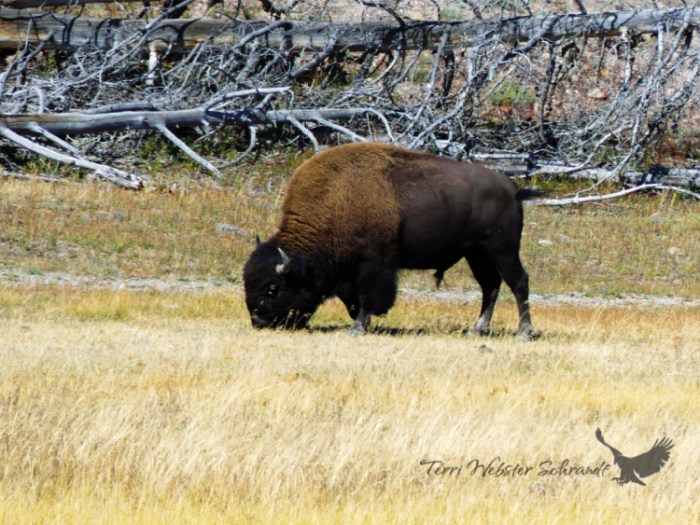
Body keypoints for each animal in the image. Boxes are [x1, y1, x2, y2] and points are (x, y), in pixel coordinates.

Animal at [243, 142, 545, 340]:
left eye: (272, 288)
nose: (259, 322)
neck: (333, 202)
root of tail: (512, 189)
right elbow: (352, 299)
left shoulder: (373, 264)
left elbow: (368, 297)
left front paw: (358, 328)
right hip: (476, 253)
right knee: (490, 286)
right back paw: (477, 329)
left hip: (501, 249)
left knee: (518, 282)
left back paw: (523, 333)